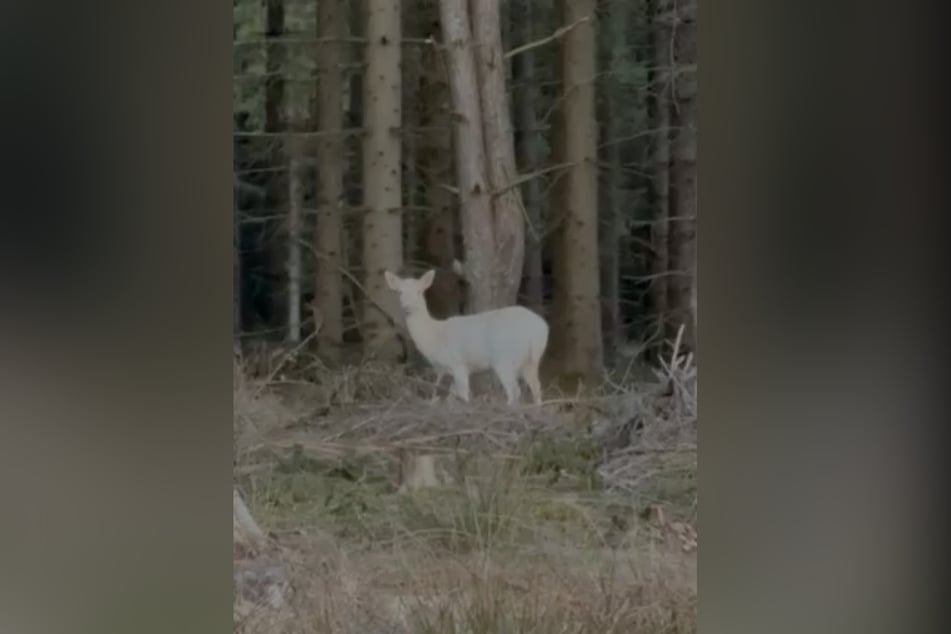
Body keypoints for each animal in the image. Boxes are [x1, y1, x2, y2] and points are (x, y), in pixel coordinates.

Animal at [384, 269, 548, 405]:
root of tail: (540, 330)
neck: (435, 338)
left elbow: (463, 395)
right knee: (537, 388)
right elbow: (453, 395)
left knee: (515, 392)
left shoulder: (458, 363)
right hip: (529, 361)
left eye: (419, 291)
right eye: (399, 292)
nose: (407, 307)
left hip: (505, 358)